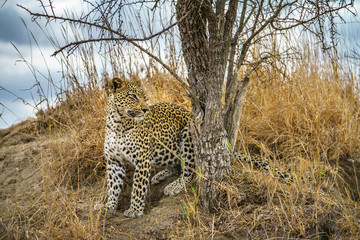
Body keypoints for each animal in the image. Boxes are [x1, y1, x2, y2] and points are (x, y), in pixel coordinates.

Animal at [102, 77, 194, 218]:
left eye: (145, 98)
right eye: (133, 96)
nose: (146, 109)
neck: (117, 124)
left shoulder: (142, 159)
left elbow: (138, 187)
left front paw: (134, 209)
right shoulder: (114, 161)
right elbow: (113, 186)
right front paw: (109, 206)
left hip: (188, 134)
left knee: (189, 172)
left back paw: (173, 186)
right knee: (177, 166)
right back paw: (159, 175)